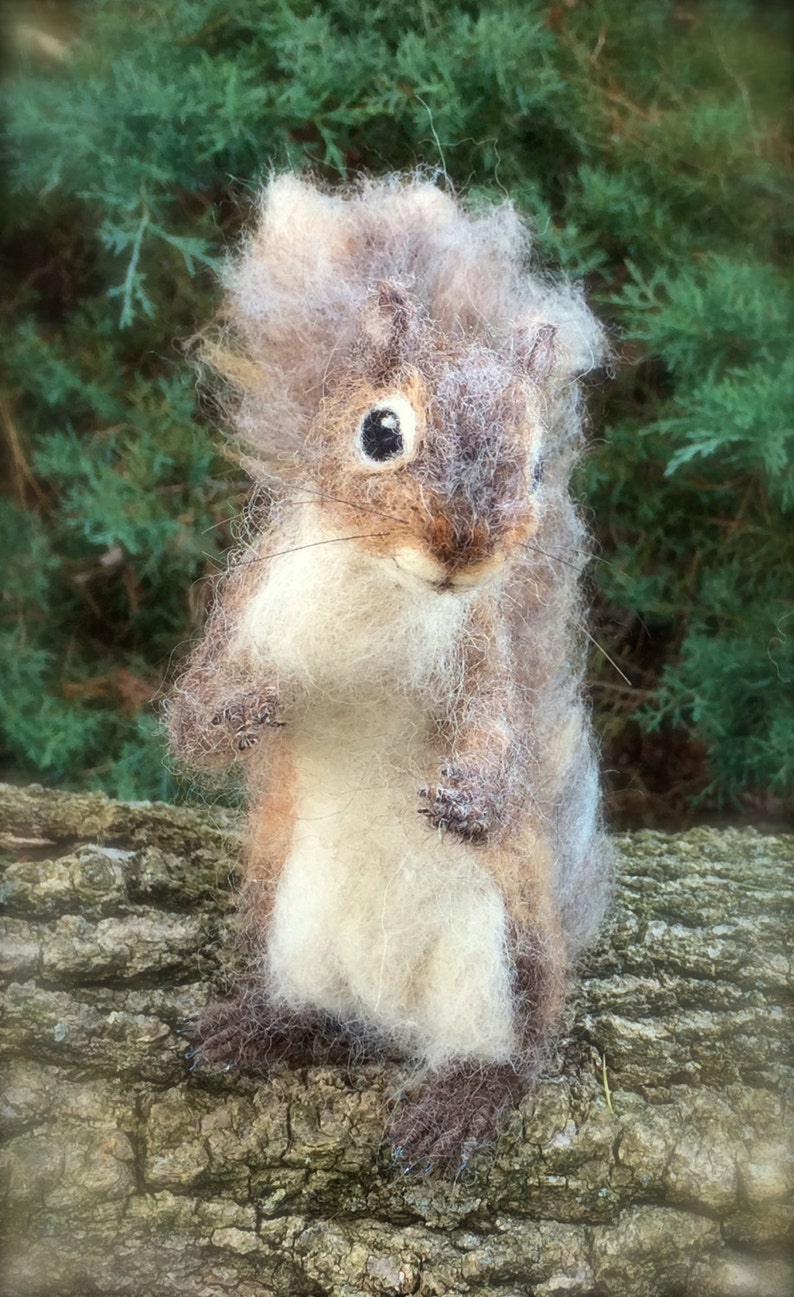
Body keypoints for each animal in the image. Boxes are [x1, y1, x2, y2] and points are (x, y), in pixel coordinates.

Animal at [169, 172, 609, 1167]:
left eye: (534, 465)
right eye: (380, 432)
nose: (463, 550)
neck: (382, 588)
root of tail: (390, 1009)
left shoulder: (481, 649)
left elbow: (496, 734)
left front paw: (475, 798)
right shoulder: (247, 606)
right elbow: (190, 721)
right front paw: (243, 710)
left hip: (496, 957)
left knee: (508, 1056)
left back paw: (465, 1094)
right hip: (290, 922)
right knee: (323, 1014)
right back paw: (268, 1024)